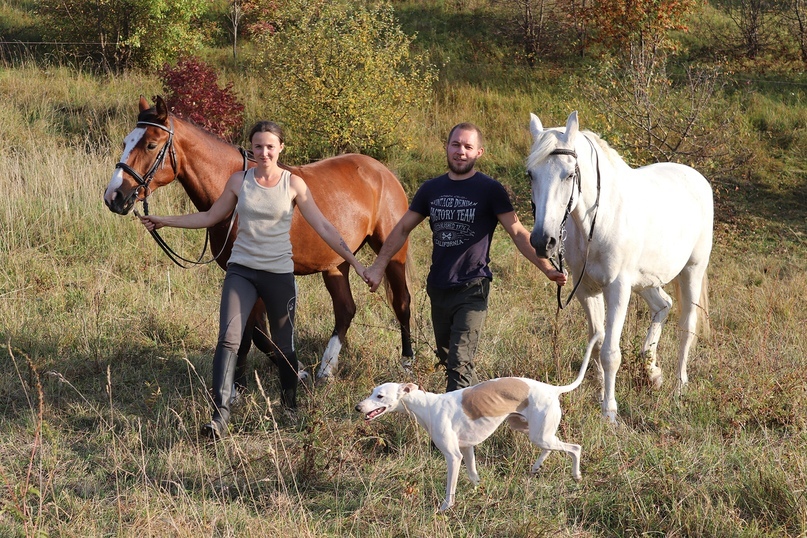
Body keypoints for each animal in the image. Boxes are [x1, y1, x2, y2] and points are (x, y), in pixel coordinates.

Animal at [104, 96, 414, 382]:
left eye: (150, 145)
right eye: (126, 142)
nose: (113, 196)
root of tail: (381, 171)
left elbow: (258, 333)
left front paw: (295, 371)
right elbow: (247, 334)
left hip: (393, 254)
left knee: (401, 302)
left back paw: (406, 363)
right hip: (336, 263)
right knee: (345, 309)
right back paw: (326, 369)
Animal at [356, 336, 600, 510]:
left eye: (380, 396)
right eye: (372, 391)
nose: (358, 407)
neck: (427, 405)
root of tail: (552, 389)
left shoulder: (453, 456)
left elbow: (450, 487)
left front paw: (445, 507)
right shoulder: (467, 448)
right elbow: (473, 474)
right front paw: (479, 490)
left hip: (539, 433)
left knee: (574, 448)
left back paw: (576, 475)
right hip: (527, 428)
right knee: (550, 447)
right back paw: (537, 466)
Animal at [532, 110, 712, 418]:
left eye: (570, 174)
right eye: (530, 174)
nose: (543, 241)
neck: (598, 220)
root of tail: (697, 178)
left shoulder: (617, 289)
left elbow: (610, 353)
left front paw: (609, 411)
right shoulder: (586, 290)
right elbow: (597, 342)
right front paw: (601, 391)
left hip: (692, 271)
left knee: (687, 326)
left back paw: (678, 388)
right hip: (645, 281)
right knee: (663, 305)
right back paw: (652, 371)